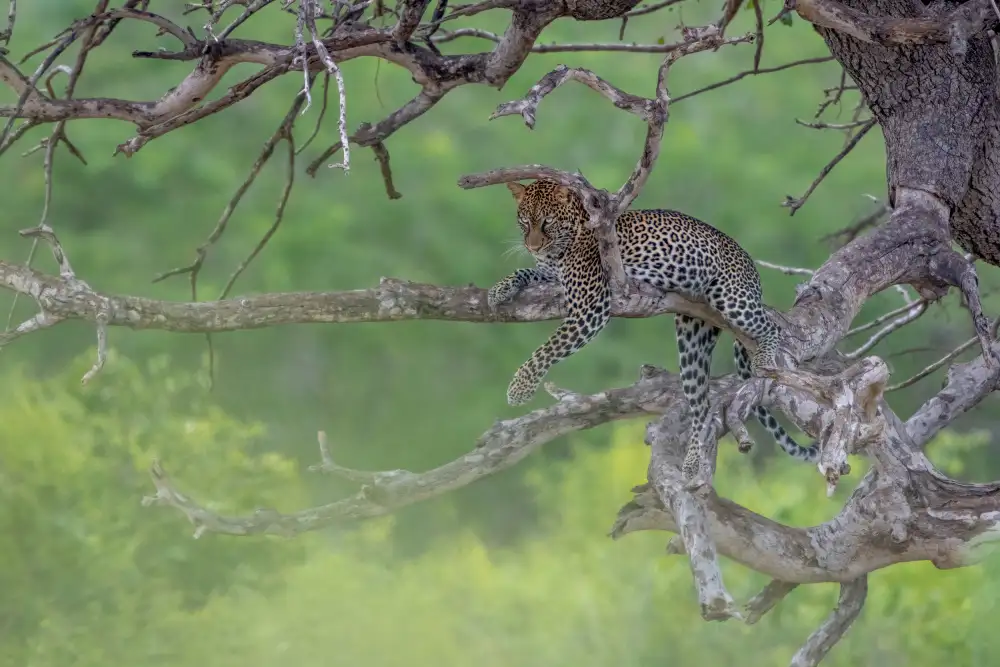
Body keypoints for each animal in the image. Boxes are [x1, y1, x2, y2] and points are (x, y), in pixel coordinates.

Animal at [487, 179, 819, 479]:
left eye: (547, 223)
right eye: (524, 223)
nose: (533, 246)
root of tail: (751, 268)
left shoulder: (590, 308)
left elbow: (547, 348)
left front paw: (519, 389)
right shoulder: (551, 276)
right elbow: (525, 271)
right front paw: (499, 289)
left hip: (732, 298)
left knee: (770, 326)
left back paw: (764, 357)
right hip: (692, 337)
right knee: (702, 404)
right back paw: (692, 463)